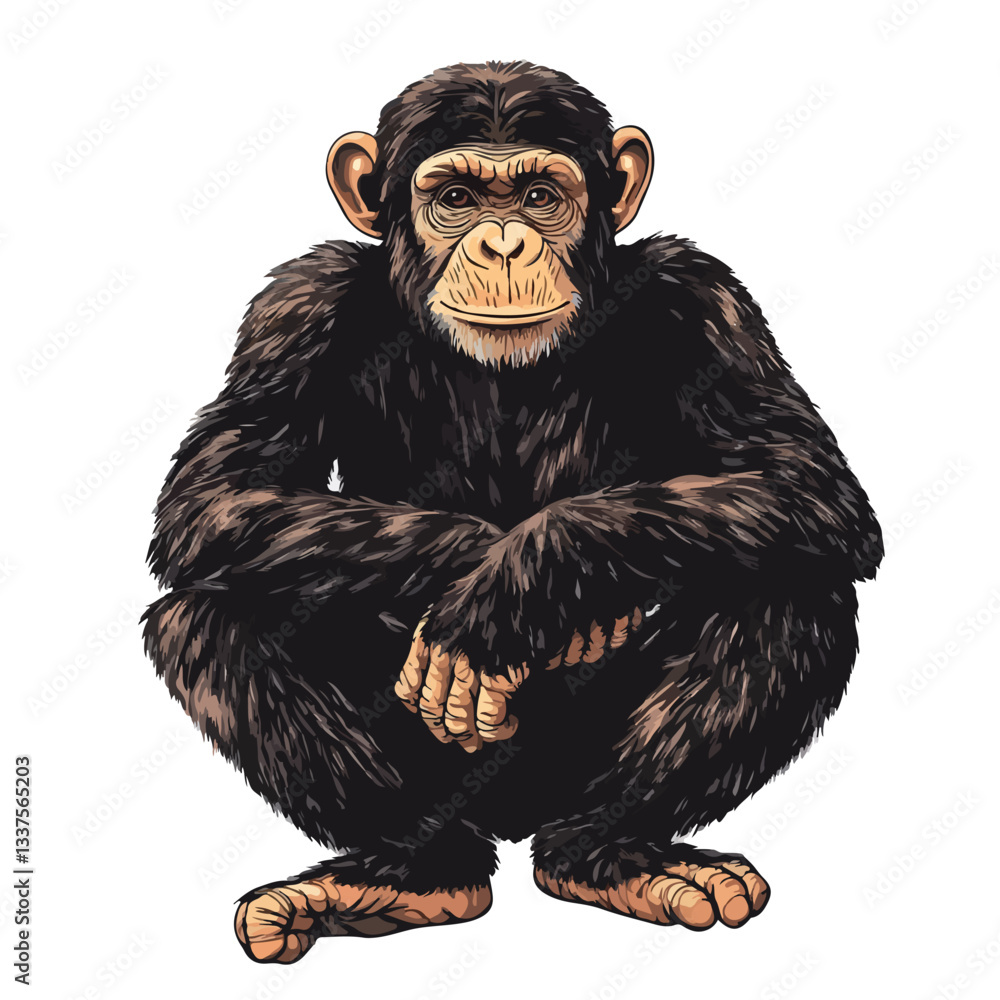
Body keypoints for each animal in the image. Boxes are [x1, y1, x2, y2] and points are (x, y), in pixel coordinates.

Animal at [142, 61, 882, 963]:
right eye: (456, 198)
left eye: (538, 195)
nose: (503, 243)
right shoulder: (297, 307)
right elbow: (216, 493)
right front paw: (474, 562)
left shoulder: (702, 295)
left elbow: (802, 479)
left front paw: (512, 590)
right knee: (214, 615)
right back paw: (406, 877)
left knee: (790, 589)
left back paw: (612, 856)